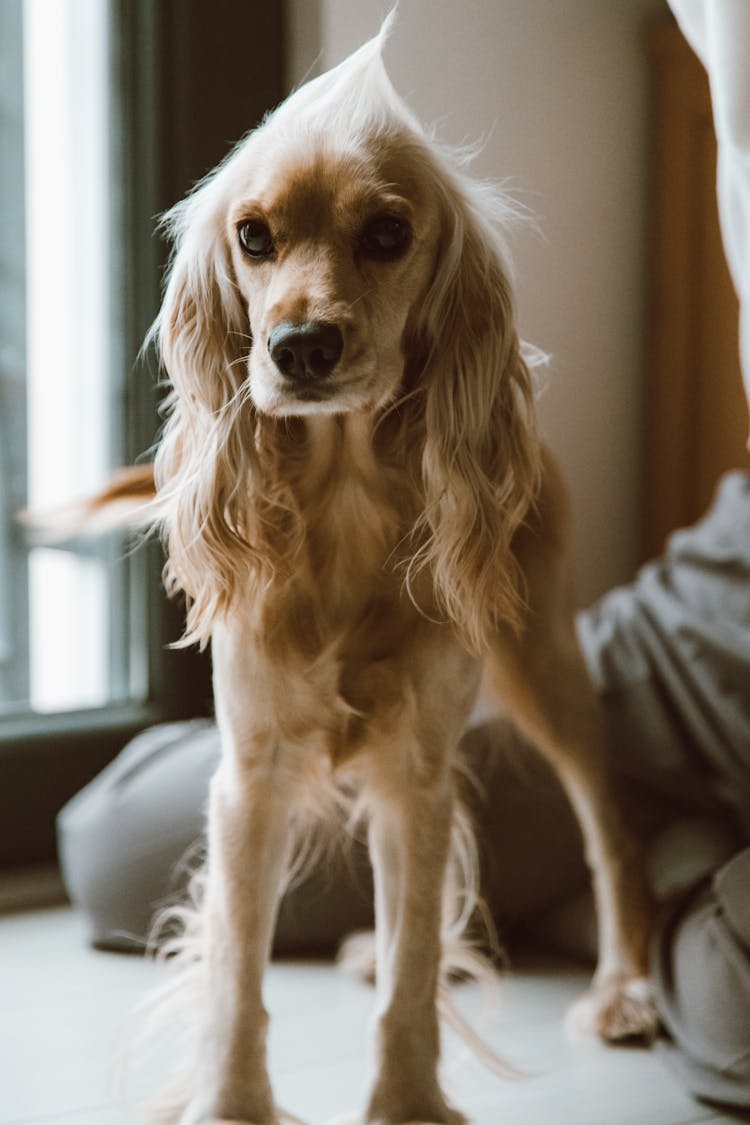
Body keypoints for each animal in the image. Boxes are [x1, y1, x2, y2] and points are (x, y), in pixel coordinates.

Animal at [80, 17, 656, 1125]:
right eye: (253, 236)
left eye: (388, 233)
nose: (300, 346)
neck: (344, 502)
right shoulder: (253, 773)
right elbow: (238, 973)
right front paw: (232, 1100)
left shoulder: (416, 773)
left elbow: (416, 971)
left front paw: (407, 1099)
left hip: (545, 664)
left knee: (611, 827)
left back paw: (626, 986)